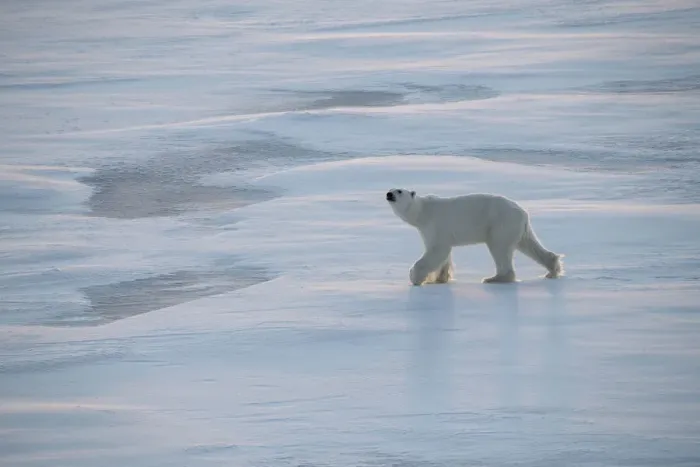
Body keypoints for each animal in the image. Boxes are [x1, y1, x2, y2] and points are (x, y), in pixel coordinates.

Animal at [385, 188, 563, 286]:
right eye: (391, 189)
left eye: (399, 191)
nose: (388, 194)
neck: (422, 211)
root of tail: (523, 212)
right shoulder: (428, 231)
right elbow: (443, 255)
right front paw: (440, 279)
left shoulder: (435, 225)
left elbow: (437, 251)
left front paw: (416, 278)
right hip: (518, 227)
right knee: (529, 244)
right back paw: (552, 269)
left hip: (500, 223)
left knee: (500, 248)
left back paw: (494, 278)